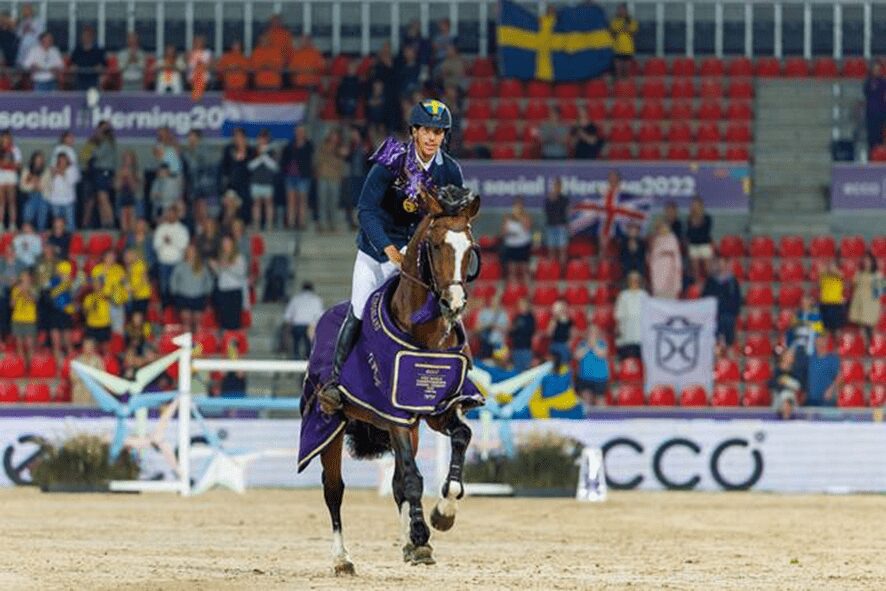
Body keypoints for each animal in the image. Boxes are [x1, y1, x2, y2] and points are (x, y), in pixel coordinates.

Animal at [299, 185, 483, 574]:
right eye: (436, 245)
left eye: (470, 247)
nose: (454, 303)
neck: (426, 333)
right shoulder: (395, 414)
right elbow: (412, 479)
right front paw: (423, 531)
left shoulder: (436, 411)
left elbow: (460, 438)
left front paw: (441, 517)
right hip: (330, 425)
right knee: (334, 489)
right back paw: (342, 559)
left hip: (409, 428)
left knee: (397, 482)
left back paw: (410, 544)